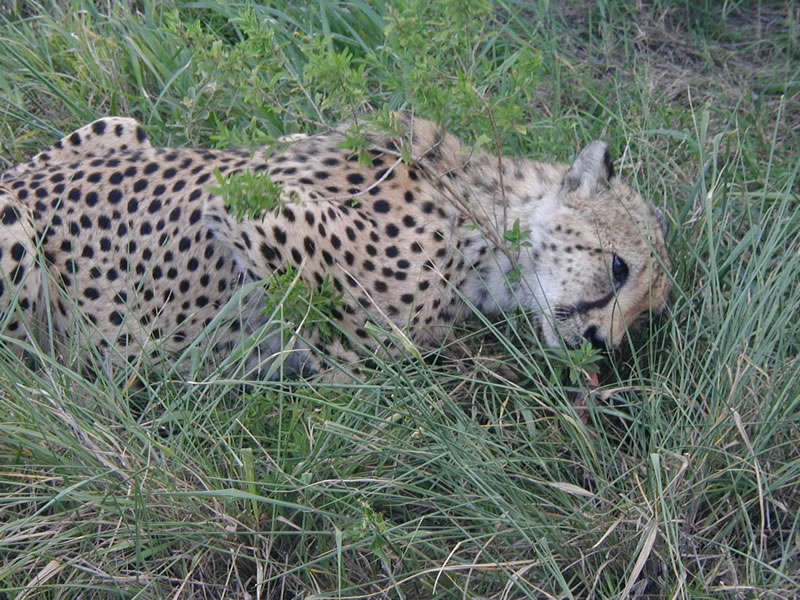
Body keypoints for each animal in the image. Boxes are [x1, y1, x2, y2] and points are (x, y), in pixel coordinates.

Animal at [0, 113, 671, 380]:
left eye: (645, 319)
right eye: (618, 268)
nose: (602, 343)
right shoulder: (242, 201)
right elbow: (232, 173)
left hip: (122, 126)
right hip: (14, 224)